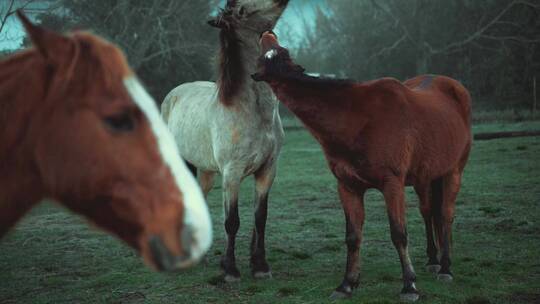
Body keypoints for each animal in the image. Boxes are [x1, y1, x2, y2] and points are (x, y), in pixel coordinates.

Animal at [161, 0, 292, 282]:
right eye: (241, 11)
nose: (281, 2)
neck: (252, 110)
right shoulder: (232, 173)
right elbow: (232, 221)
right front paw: (231, 270)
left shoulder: (267, 170)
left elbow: (260, 218)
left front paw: (260, 265)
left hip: (207, 171)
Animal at [251, 33, 470, 302]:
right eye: (266, 54)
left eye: (279, 53)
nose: (266, 34)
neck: (357, 118)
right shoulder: (348, 186)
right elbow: (353, 236)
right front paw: (347, 284)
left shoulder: (392, 184)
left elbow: (399, 234)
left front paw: (409, 285)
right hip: (425, 177)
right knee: (428, 212)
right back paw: (433, 261)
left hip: (453, 172)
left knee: (446, 214)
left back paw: (446, 268)